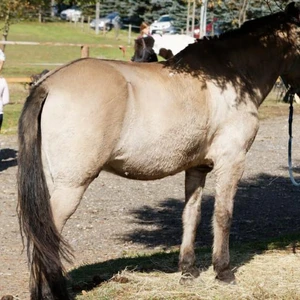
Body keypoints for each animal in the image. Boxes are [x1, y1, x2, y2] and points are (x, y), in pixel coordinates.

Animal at [17, 2, 300, 300]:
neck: (230, 76)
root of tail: (48, 84)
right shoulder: (231, 161)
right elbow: (223, 215)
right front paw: (223, 271)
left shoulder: (197, 167)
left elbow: (191, 215)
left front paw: (188, 271)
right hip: (70, 186)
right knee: (46, 234)